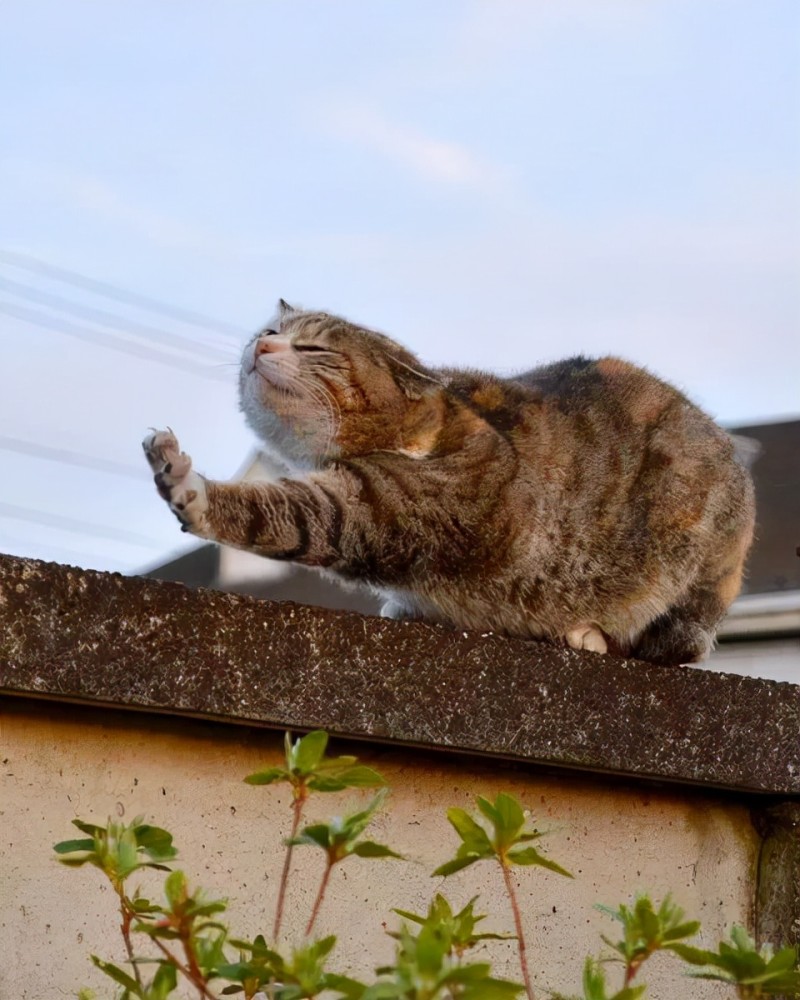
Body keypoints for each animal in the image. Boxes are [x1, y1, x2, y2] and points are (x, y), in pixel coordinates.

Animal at [142, 300, 756, 668]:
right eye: (270, 331)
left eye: (314, 349)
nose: (263, 346)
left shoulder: (381, 506)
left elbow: (284, 513)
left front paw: (189, 487)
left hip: (690, 552)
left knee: (673, 644)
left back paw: (591, 634)